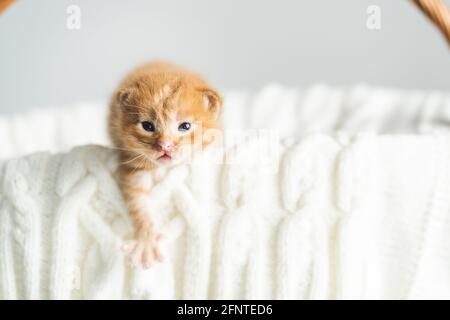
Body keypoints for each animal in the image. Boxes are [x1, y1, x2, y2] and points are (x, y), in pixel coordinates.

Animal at [109, 62, 221, 268]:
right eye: (147, 126)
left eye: (185, 126)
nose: (165, 146)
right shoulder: (134, 163)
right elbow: (137, 202)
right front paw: (146, 241)